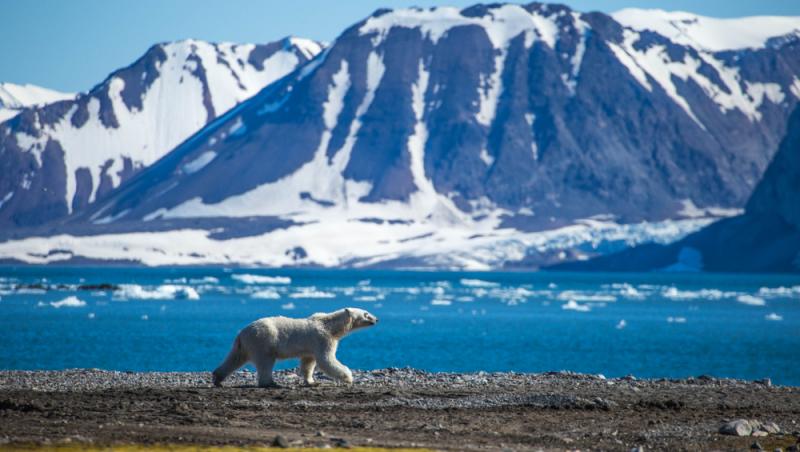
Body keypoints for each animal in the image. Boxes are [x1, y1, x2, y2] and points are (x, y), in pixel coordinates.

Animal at [211, 308, 376, 388]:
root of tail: (242, 332)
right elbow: (326, 360)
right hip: (264, 341)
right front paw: (348, 377)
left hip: (244, 345)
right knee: (265, 362)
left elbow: (308, 363)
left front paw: (311, 381)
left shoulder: (311, 347)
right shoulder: (322, 339)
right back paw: (270, 383)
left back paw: (218, 378)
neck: (330, 326)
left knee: (235, 358)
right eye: (366, 314)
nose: (376, 319)